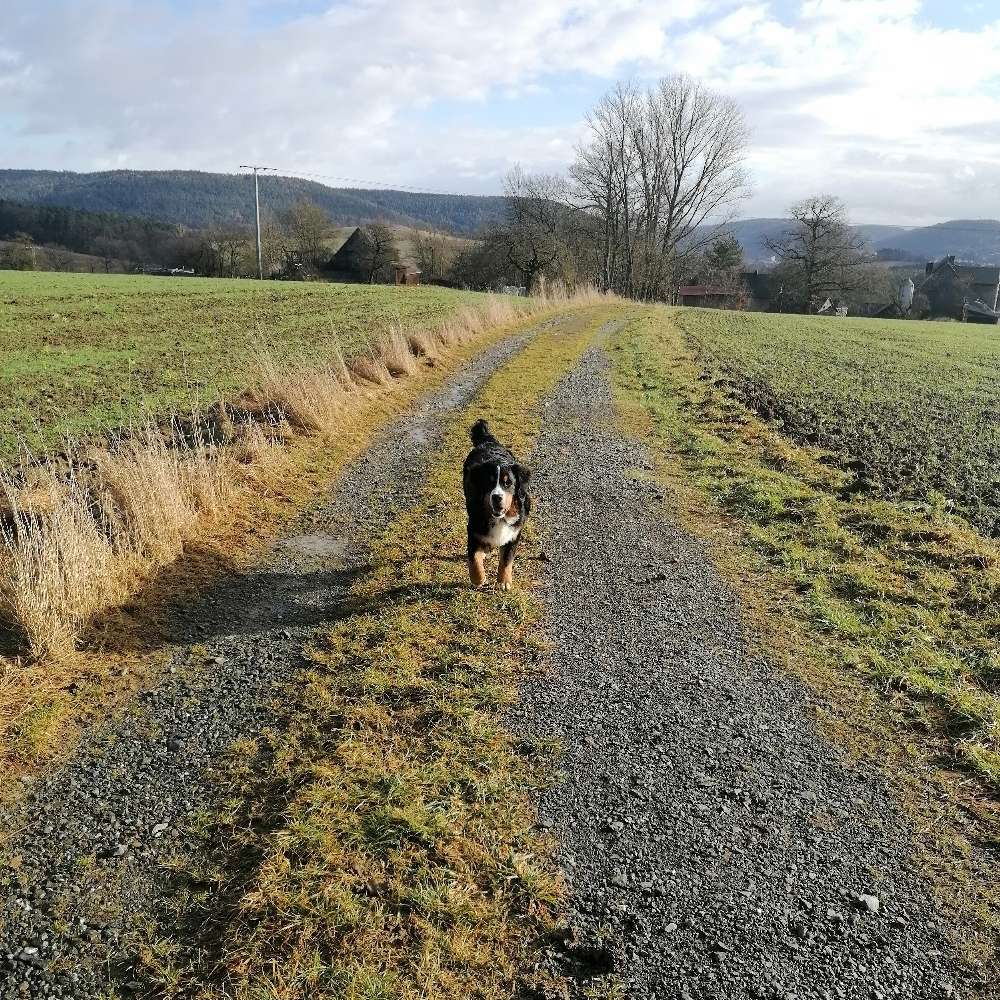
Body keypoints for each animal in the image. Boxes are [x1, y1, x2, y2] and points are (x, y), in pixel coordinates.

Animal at [464, 418, 536, 588]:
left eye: (508, 483)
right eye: (489, 483)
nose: (497, 497)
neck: (499, 518)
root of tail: (489, 442)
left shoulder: (514, 533)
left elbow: (507, 559)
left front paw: (504, 581)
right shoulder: (473, 529)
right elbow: (473, 558)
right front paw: (478, 578)